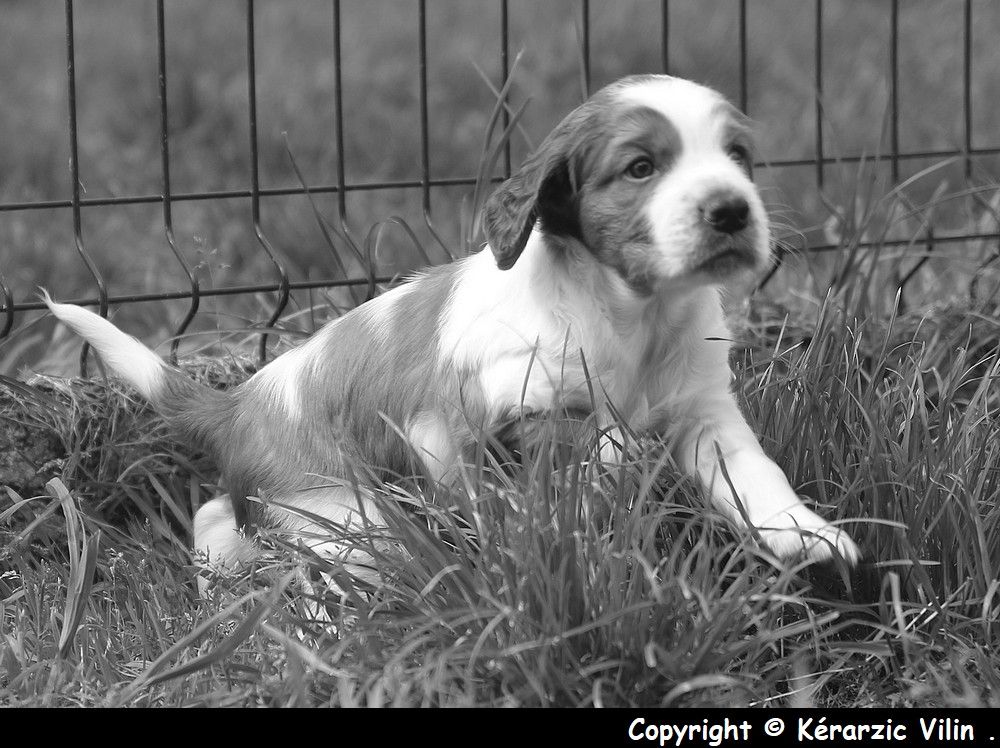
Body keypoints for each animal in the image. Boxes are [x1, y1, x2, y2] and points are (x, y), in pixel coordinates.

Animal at [47, 76, 860, 580]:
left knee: (222, 515)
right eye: (640, 167)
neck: (632, 310)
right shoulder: (460, 417)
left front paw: (809, 537)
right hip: (339, 511)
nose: (732, 209)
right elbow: (562, 468)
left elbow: (754, 474)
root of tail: (238, 403)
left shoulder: (702, 411)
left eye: (738, 156)